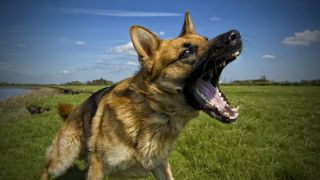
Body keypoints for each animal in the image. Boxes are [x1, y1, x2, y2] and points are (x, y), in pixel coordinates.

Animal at [42, 11, 242, 180]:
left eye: (206, 39)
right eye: (186, 52)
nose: (235, 35)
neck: (153, 110)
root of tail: (73, 112)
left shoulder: (160, 165)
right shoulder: (98, 168)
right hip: (62, 160)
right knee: (46, 170)